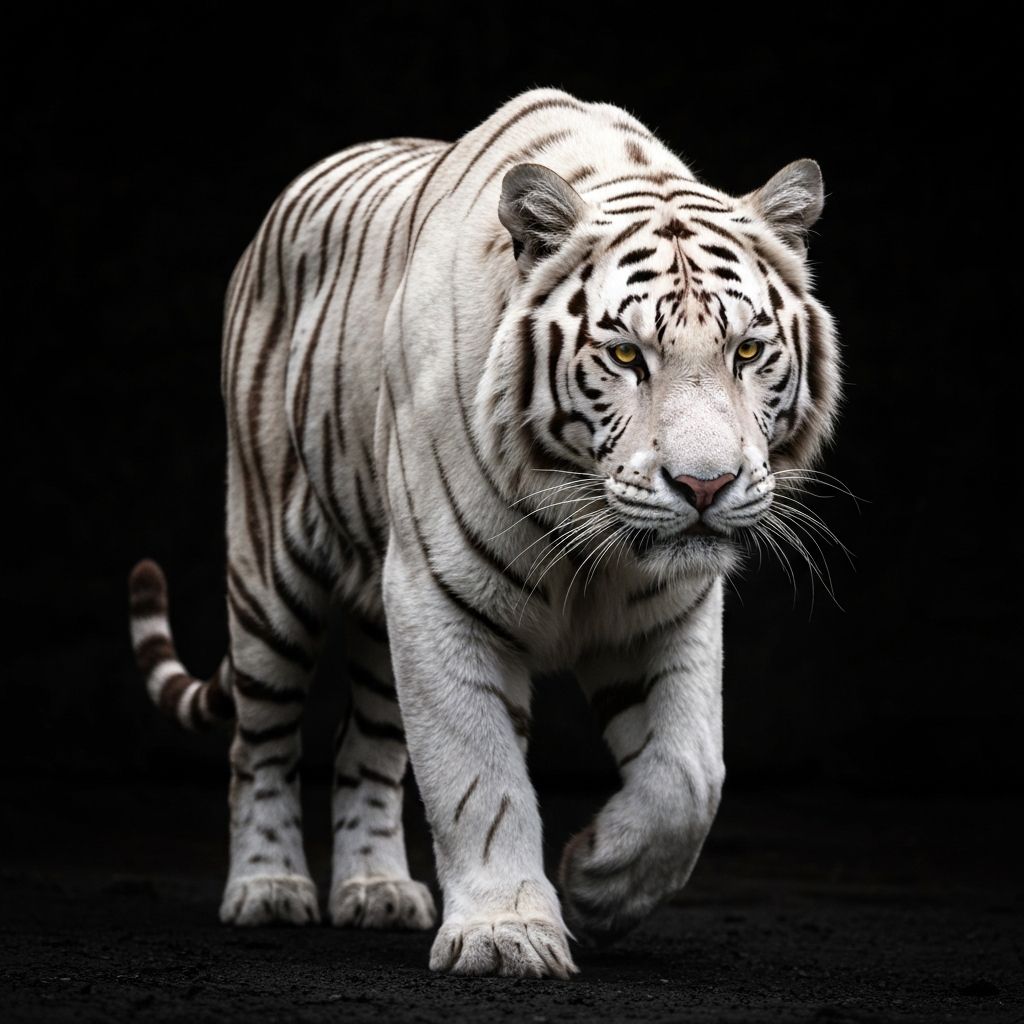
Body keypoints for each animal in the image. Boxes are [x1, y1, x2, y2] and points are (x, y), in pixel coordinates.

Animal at [128, 86, 840, 979]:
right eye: (625, 356)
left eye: (747, 351)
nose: (704, 486)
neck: (592, 537)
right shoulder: (439, 598)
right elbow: (480, 779)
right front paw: (507, 935)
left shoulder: (668, 610)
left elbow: (688, 774)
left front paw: (598, 881)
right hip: (270, 577)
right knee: (259, 743)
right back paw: (267, 888)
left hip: (377, 616)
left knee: (363, 748)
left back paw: (376, 891)